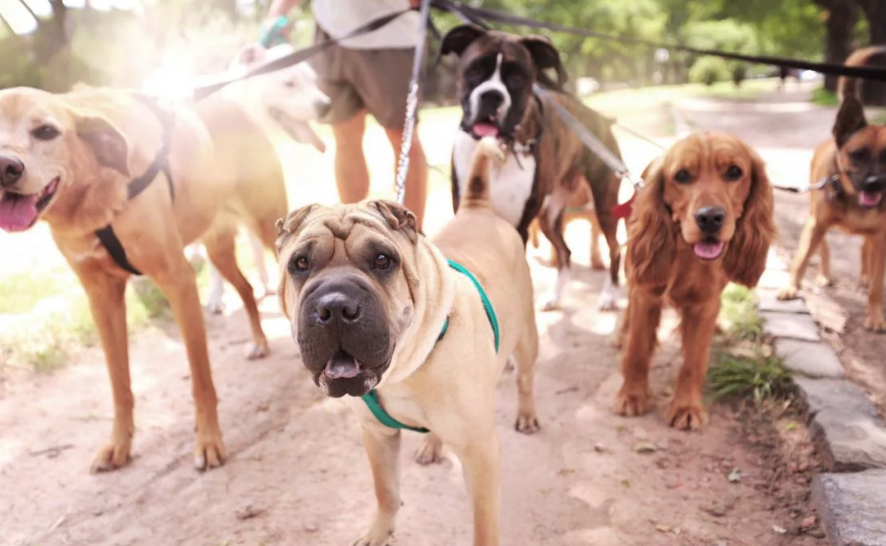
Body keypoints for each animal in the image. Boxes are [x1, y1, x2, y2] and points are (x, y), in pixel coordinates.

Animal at [0, 85, 288, 471]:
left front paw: (208, 440)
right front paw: (119, 444)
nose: (6, 167)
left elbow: (200, 379)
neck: (96, 196)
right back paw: (258, 341)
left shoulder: (177, 281)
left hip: (272, 231)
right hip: (218, 249)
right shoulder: (101, 298)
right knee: (244, 287)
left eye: (46, 131)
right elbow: (118, 384)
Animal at [276, 137, 539, 546]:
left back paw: (526, 414)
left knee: (525, 377)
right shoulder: (377, 435)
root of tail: (479, 209)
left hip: (526, 338)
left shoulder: (480, 454)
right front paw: (379, 531)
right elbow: (385, 490)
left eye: (383, 259)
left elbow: (483, 524)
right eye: (300, 263)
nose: (334, 306)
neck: (407, 368)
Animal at [440, 24, 624, 312]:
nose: (492, 95)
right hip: (549, 216)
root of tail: (598, 118)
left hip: (604, 205)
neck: (499, 148)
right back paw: (555, 296)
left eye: (517, 76)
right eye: (474, 70)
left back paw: (609, 294)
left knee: (615, 248)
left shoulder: (518, 229)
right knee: (565, 252)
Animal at [614, 131, 774, 430]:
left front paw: (686, 407)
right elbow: (638, 350)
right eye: (682, 176)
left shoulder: (704, 304)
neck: (687, 252)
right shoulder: (647, 293)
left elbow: (693, 362)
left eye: (734, 172)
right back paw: (621, 335)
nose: (709, 217)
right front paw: (631, 396)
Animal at [778, 46, 886, 331]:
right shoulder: (816, 224)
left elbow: (878, 286)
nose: (875, 183)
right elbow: (800, 261)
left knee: (865, 252)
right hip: (818, 224)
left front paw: (875, 315)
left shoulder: (881, 237)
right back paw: (825, 275)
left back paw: (864, 277)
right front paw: (790, 288)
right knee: (825, 250)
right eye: (858, 154)